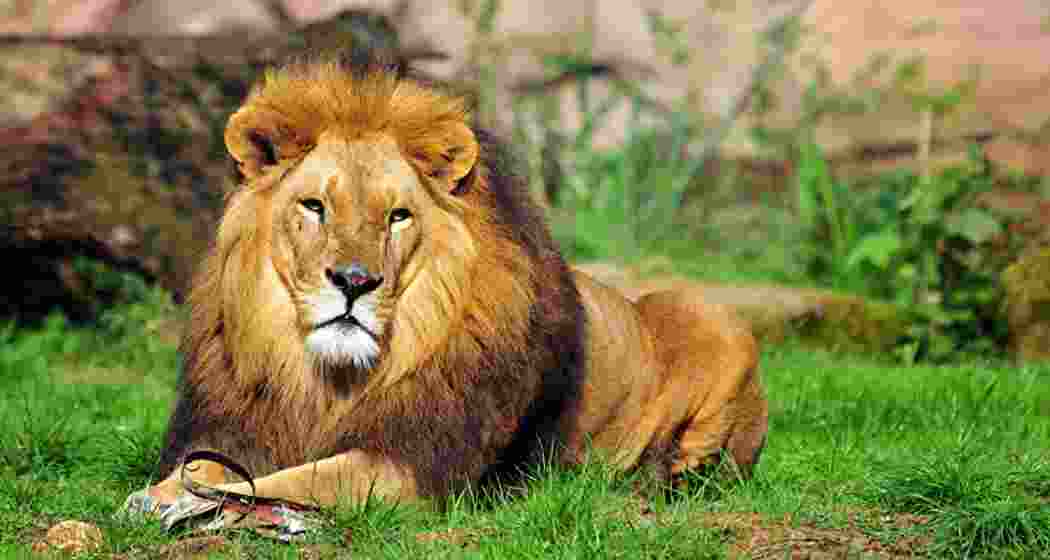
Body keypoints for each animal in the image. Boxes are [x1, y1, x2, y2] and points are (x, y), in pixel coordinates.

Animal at [125, 57, 768, 528]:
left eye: (398, 216)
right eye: (314, 206)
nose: (354, 282)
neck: (326, 380)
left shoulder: (411, 466)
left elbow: (294, 479)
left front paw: (197, 503)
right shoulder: (237, 424)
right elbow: (210, 465)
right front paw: (162, 492)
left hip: (712, 314)